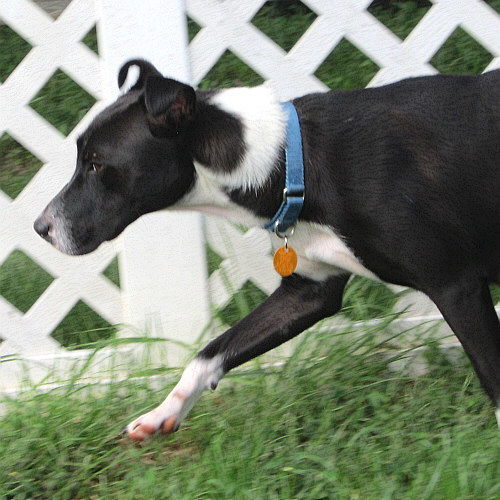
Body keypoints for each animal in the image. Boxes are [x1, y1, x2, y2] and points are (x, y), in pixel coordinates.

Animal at [33, 59, 498, 438]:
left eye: (96, 164)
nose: (40, 228)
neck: (292, 160)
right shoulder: (309, 291)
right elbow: (209, 352)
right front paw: (164, 412)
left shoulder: (456, 287)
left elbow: (492, 376)